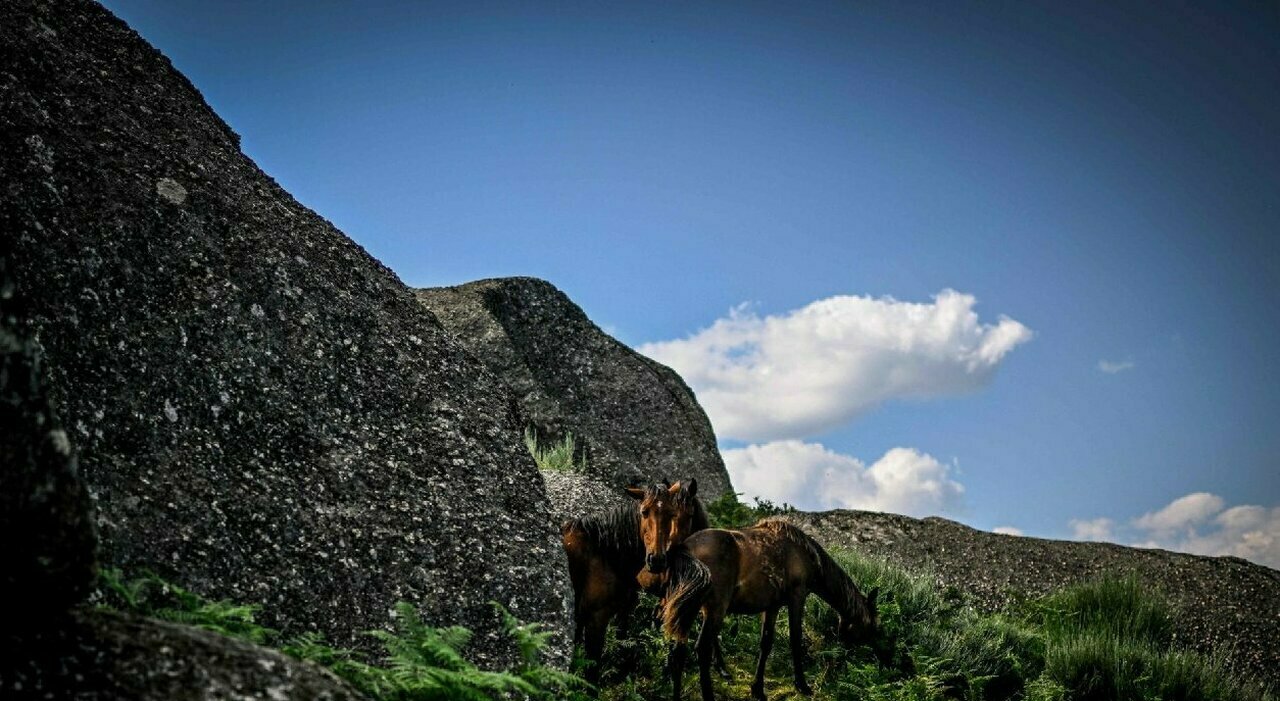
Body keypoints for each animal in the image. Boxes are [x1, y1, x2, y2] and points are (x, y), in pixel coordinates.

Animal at [660, 514, 880, 701]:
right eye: (870, 625)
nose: (869, 653)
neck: (807, 556)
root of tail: (685, 548)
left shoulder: (772, 606)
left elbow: (766, 643)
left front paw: (758, 689)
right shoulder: (797, 596)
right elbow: (795, 639)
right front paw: (802, 685)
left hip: (689, 609)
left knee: (678, 654)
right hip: (714, 608)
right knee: (702, 649)